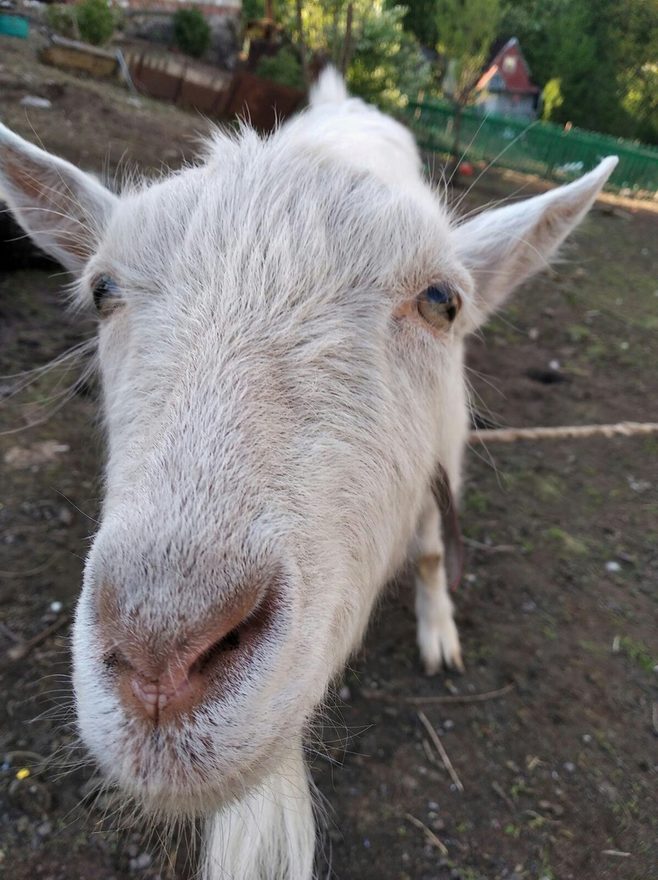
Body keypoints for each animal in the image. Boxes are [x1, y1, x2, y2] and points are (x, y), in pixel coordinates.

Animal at [0, 70, 616, 880]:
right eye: (103, 291)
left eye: (442, 300)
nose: (161, 651)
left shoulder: (444, 453)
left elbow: (430, 553)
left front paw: (440, 636)